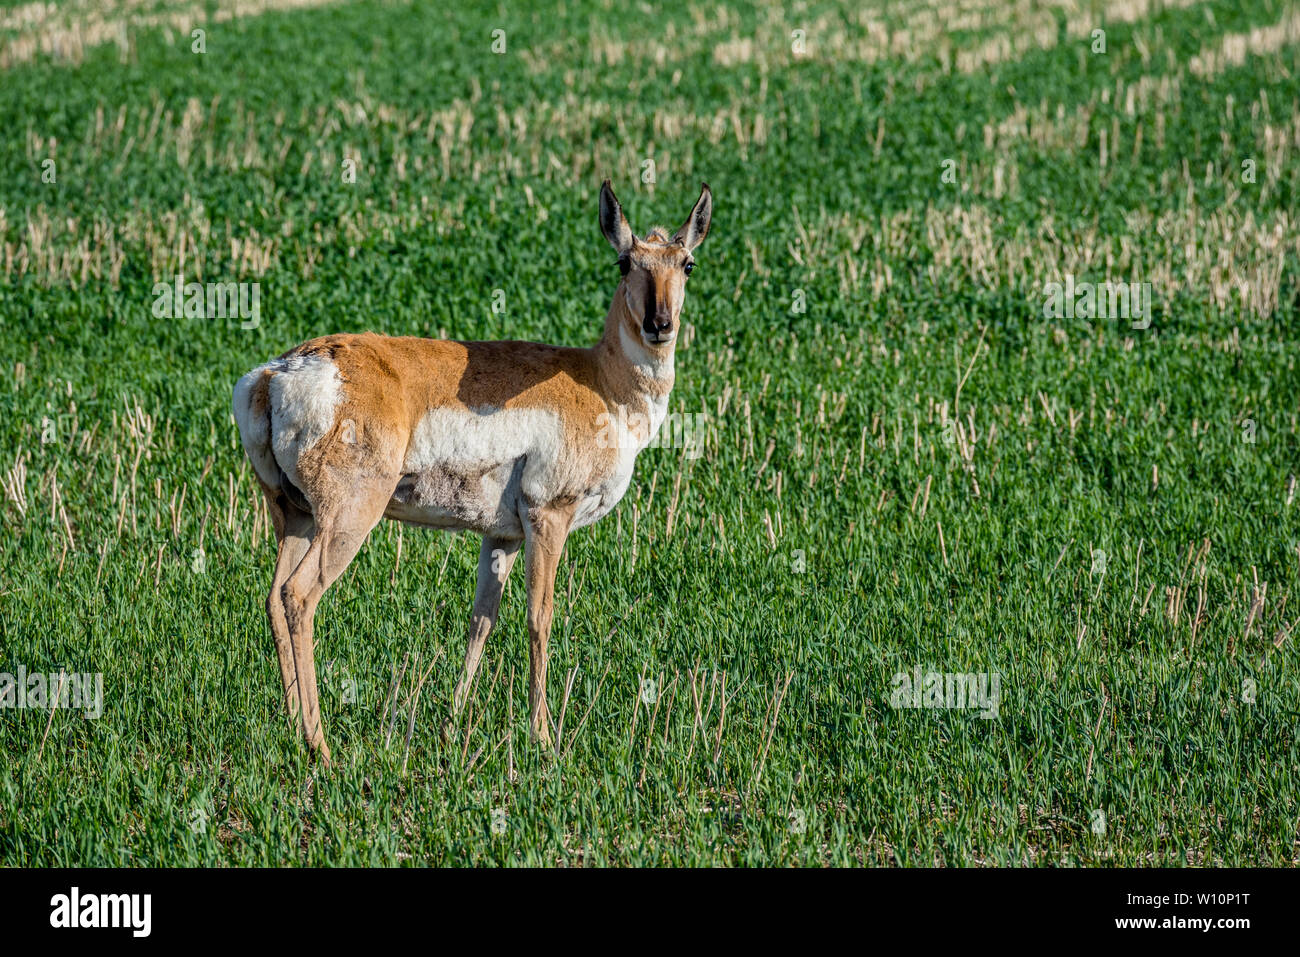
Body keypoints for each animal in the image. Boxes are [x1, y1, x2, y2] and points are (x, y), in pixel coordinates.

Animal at [232, 181, 712, 762]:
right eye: (625, 262)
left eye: (686, 263)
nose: (659, 325)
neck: (600, 382)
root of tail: (280, 371)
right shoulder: (548, 518)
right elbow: (539, 616)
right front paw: (543, 737)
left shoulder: (501, 536)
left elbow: (482, 619)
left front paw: (453, 719)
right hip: (348, 518)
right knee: (299, 597)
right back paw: (321, 747)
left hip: (294, 517)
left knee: (273, 597)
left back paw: (291, 724)